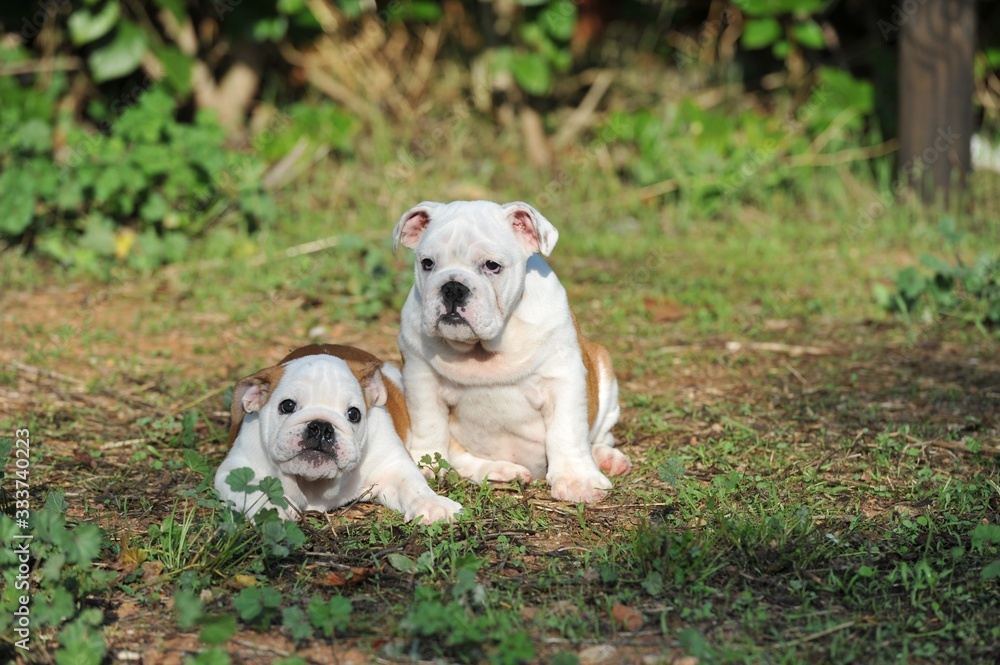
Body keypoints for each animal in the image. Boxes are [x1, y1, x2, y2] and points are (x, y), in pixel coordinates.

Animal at [214, 342, 460, 524]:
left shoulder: (393, 466)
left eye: (354, 414)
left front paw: (432, 505)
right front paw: (273, 509)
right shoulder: (235, 470)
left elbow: (413, 486)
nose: (321, 427)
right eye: (287, 406)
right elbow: (254, 490)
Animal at [392, 200, 632, 500]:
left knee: (599, 435)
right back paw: (500, 470)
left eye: (492, 266)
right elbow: (429, 425)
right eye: (427, 264)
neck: (482, 350)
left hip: (604, 373)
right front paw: (425, 464)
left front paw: (578, 480)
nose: (452, 287)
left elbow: (567, 431)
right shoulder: (420, 376)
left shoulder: (562, 378)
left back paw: (605, 457)